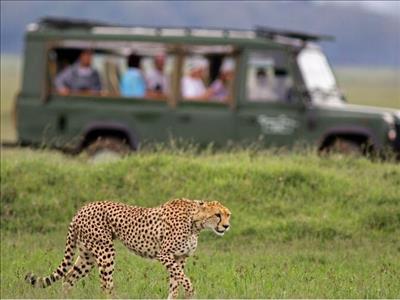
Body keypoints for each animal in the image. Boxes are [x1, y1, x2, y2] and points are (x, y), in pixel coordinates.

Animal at [25, 198, 231, 298]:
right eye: (217, 215)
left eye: (228, 215)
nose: (227, 226)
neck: (195, 222)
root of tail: (82, 209)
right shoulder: (165, 255)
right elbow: (184, 280)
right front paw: (192, 292)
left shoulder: (179, 258)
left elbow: (175, 283)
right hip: (105, 251)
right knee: (105, 285)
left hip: (87, 256)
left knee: (68, 278)